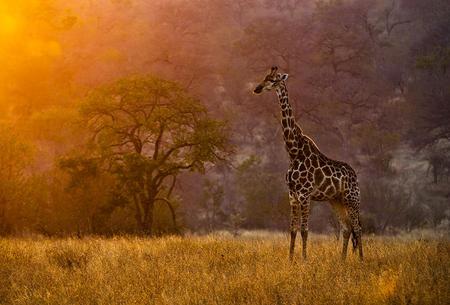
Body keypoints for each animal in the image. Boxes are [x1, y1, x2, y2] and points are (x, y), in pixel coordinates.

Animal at [253, 66, 362, 258]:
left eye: (273, 80)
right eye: (265, 77)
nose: (257, 88)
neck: (293, 151)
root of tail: (354, 175)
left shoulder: (305, 194)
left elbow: (304, 230)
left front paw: (304, 259)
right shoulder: (292, 195)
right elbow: (292, 230)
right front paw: (290, 259)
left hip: (352, 199)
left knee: (358, 229)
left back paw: (361, 261)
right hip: (336, 200)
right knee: (347, 228)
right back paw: (342, 261)